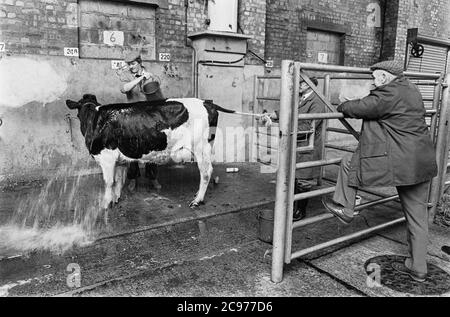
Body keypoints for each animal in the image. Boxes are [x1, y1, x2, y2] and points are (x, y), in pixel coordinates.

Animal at [67, 92, 236, 209]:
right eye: (80, 111)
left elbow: (108, 182)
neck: (95, 120)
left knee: (206, 172)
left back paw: (197, 200)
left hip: (201, 147)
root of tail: (206, 103)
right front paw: (115, 199)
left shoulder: (106, 157)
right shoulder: (119, 159)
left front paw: (105, 204)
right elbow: (118, 180)